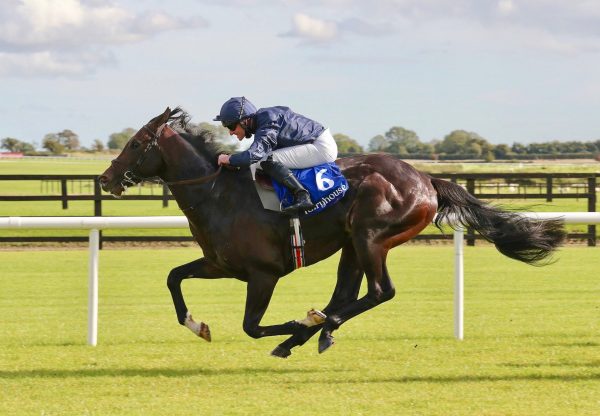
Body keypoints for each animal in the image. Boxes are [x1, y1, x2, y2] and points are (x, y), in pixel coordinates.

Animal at [99, 107, 568, 358]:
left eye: (136, 144)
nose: (105, 179)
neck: (219, 193)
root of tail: (426, 180)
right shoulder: (221, 264)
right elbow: (173, 277)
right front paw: (197, 325)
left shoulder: (263, 274)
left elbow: (253, 326)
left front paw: (293, 323)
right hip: (352, 244)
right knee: (345, 294)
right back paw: (317, 329)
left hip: (372, 236)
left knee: (379, 292)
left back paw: (313, 328)